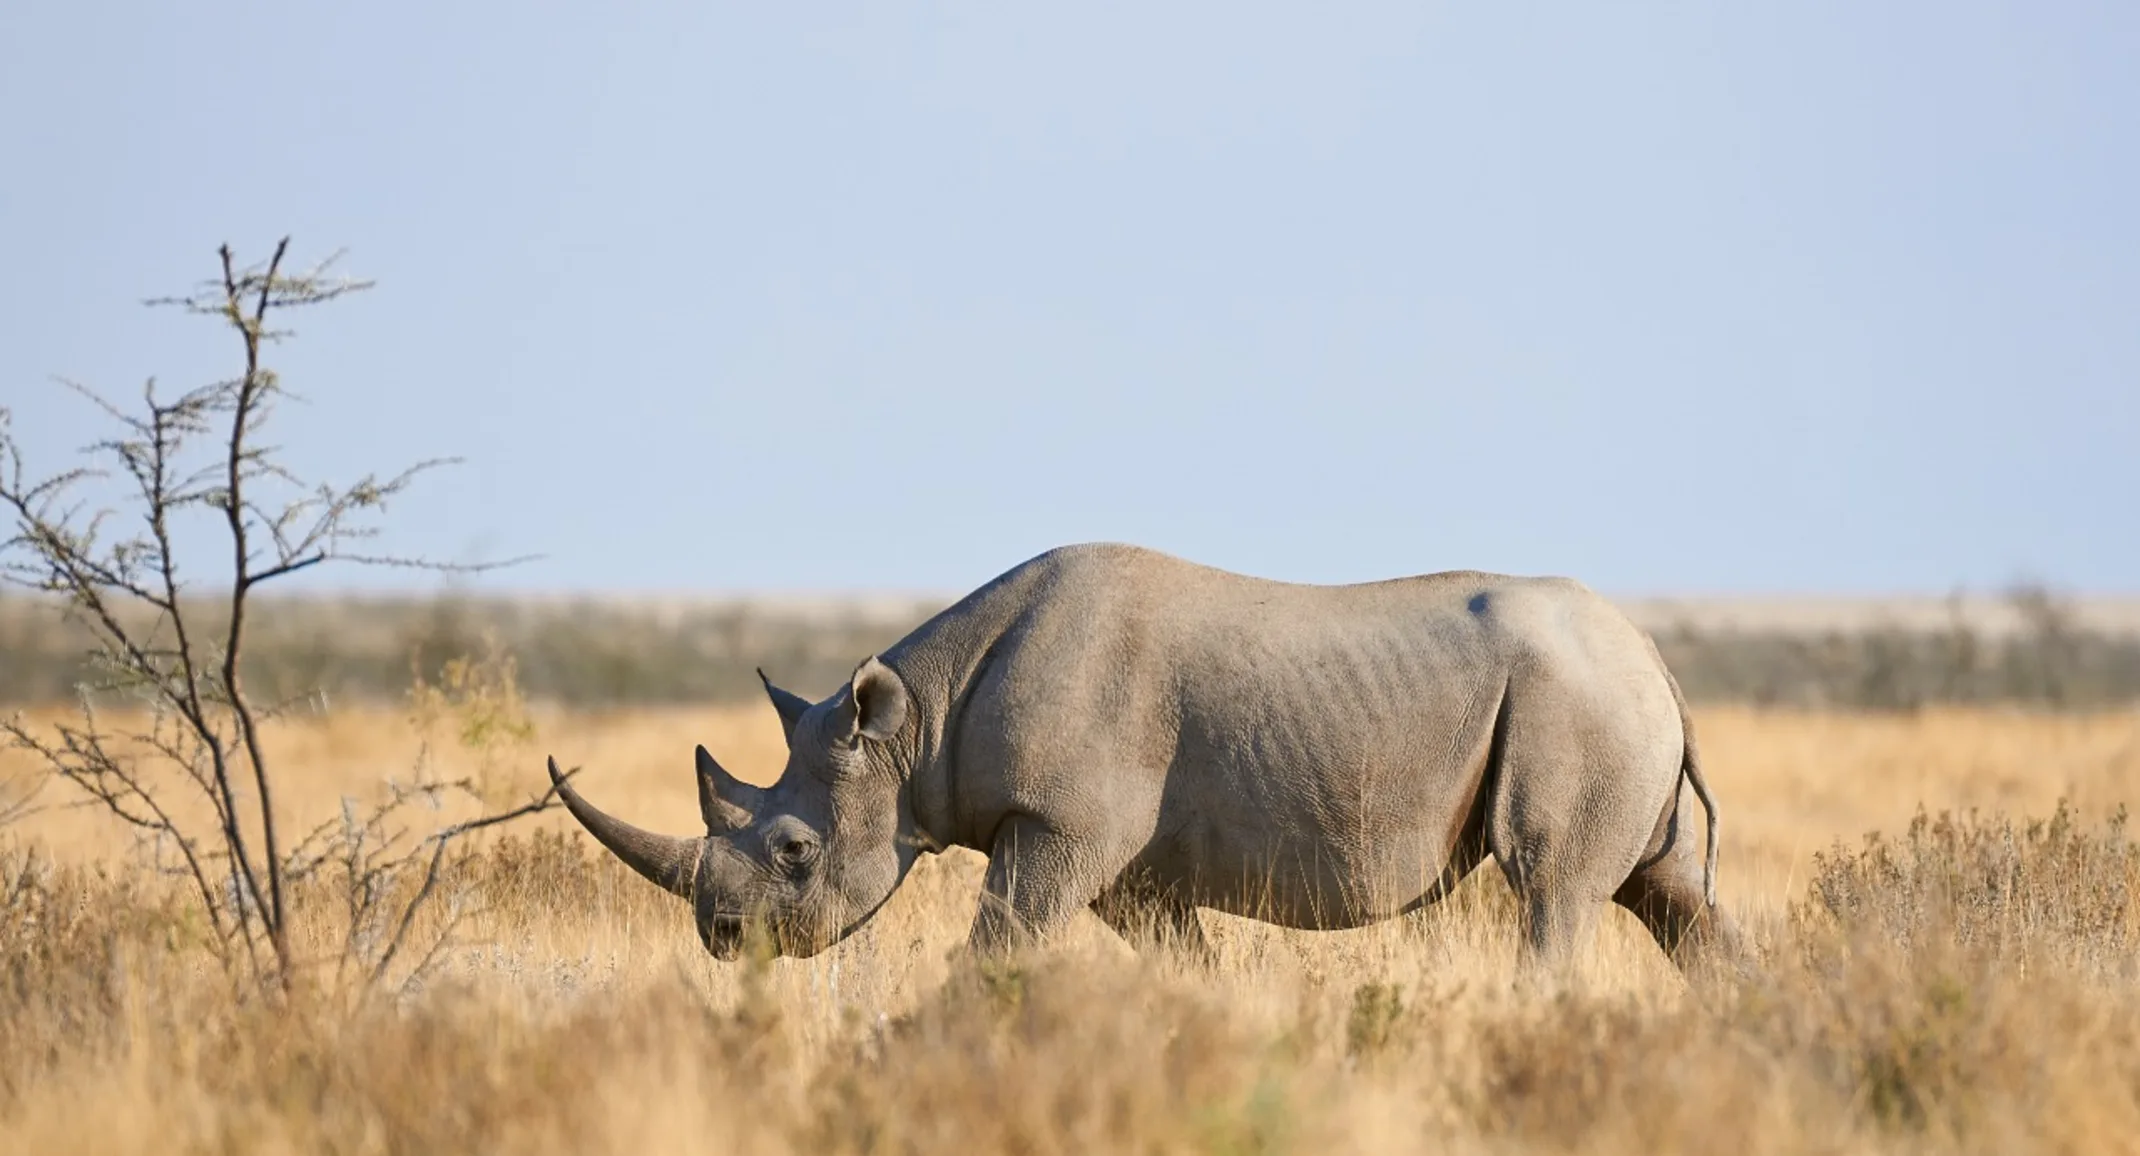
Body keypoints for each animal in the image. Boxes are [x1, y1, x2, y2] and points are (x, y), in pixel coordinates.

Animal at [547, 542, 1745, 974]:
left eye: (795, 851)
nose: (721, 940)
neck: (911, 728)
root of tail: (1655, 658)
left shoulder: (1058, 825)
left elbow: (995, 947)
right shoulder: (1127, 862)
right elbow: (1184, 965)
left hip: (1578, 702)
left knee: (1553, 896)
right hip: (1606, 703)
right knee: (1674, 900)